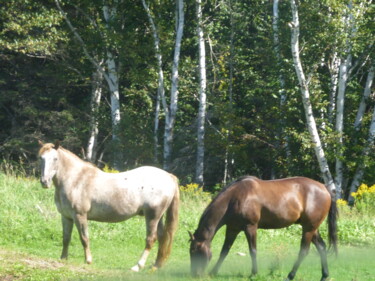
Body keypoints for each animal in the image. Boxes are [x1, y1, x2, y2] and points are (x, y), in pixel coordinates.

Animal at [39, 141, 180, 270]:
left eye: (55, 158)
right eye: (41, 158)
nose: (44, 182)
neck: (76, 180)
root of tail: (169, 176)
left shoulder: (80, 216)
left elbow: (84, 238)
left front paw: (88, 260)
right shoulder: (66, 217)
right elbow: (66, 238)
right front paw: (63, 259)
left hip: (152, 216)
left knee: (151, 239)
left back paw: (138, 266)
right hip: (158, 217)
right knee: (162, 237)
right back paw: (156, 266)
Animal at [189, 175, 340, 280]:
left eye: (194, 251)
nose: (195, 274)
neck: (235, 198)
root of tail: (324, 188)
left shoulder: (250, 227)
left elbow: (253, 251)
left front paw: (254, 274)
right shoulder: (232, 228)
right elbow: (224, 251)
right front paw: (213, 272)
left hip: (308, 228)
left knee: (303, 251)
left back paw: (290, 276)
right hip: (311, 228)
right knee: (321, 247)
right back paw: (324, 276)